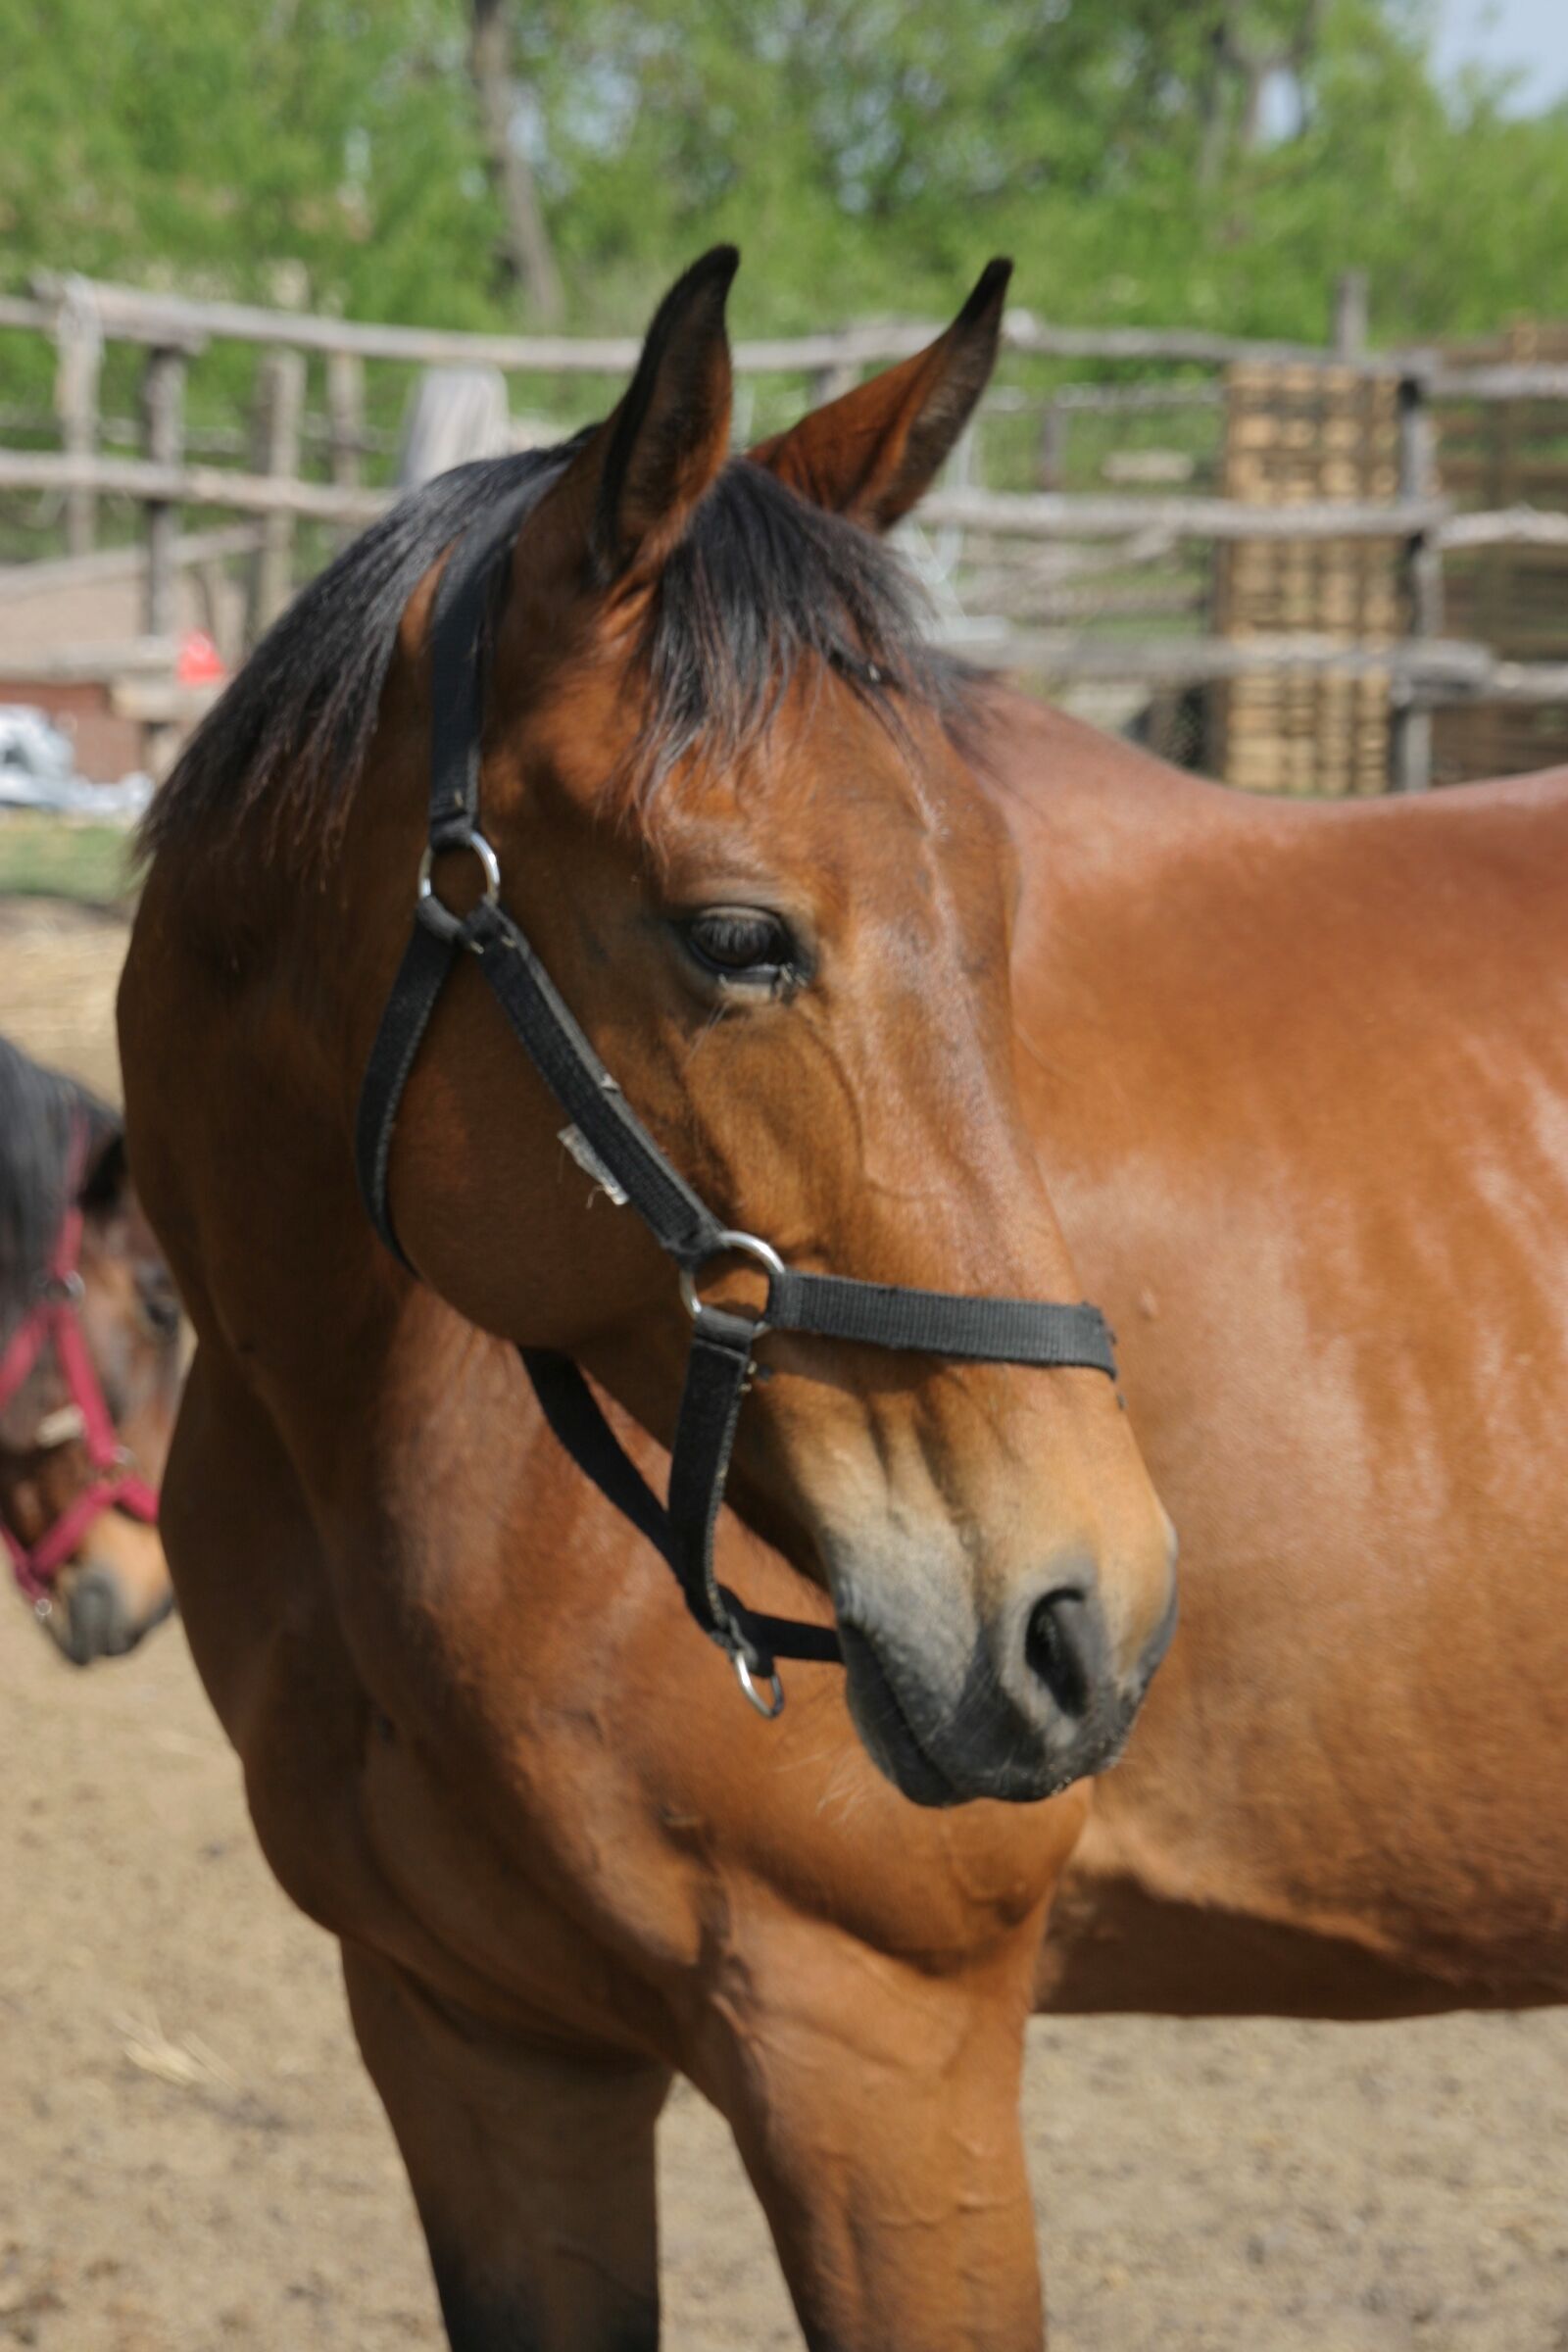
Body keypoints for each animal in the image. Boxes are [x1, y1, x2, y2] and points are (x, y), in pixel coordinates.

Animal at [115, 244, 1566, 2349]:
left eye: (1000, 911)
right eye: (738, 937)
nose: (1087, 1616)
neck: (372, 1444)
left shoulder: (878, 2053)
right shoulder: (479, 2046)